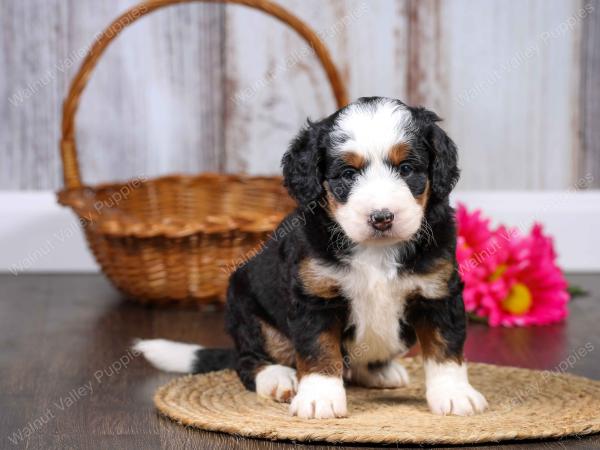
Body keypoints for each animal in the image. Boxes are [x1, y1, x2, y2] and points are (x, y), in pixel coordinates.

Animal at [136, 97, 488, 418]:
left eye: (406, 169)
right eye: (348, 174)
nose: (381, 217)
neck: (376, 249)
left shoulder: (437, 292)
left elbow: (445, 349)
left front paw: (454, 394)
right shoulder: (316, 295)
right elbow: (319, 351)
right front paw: (320, 398)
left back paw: (380, 370)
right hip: (246, 309)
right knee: (248, 360)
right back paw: (277, 378)